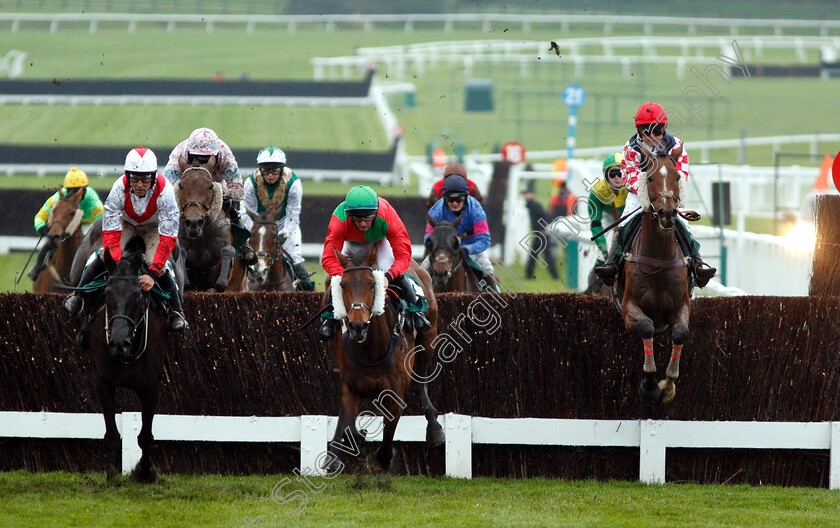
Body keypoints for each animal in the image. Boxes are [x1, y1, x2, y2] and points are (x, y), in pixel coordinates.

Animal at [88, 239, 170, 482]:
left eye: (137, 295)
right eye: (106, 294)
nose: (118, 343)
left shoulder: (151, 387)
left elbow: (145, 436)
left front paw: (146, 471)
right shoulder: (104, 384)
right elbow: (112, 434)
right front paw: (111, 475)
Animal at [324, 245, 446, 472]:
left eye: (372, 284)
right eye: (343, 285)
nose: (357, 326)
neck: (371, 352)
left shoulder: (395, 392)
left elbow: (388, 432)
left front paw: (386, 457)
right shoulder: (350, 387)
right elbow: (348, 422)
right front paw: (349, 444)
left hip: (429, 336)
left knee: (420, 382)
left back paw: (434, 429)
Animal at [620, 142, 692, 402]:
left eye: (677, 176)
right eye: (649, 178)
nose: (667, 214)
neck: (659, 258)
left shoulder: (683, 305)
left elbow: (680, 332)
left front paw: (668, 386)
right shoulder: (628, 307)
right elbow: (646, 326)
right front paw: (649, 385)